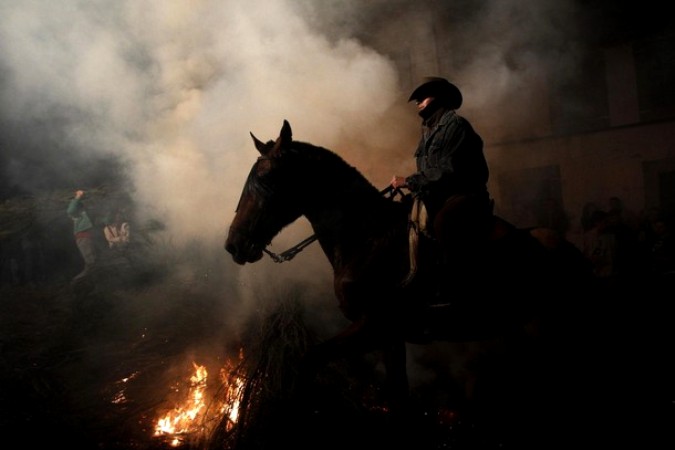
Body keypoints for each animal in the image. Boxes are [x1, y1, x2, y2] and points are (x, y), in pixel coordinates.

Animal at [224, 118, 596, 418]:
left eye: (267, 177)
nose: (233, 244)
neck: (368, 237)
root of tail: (569, 251)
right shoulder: (390, 337)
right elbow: (398, 396)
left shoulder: (372, 326)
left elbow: (310, 359)